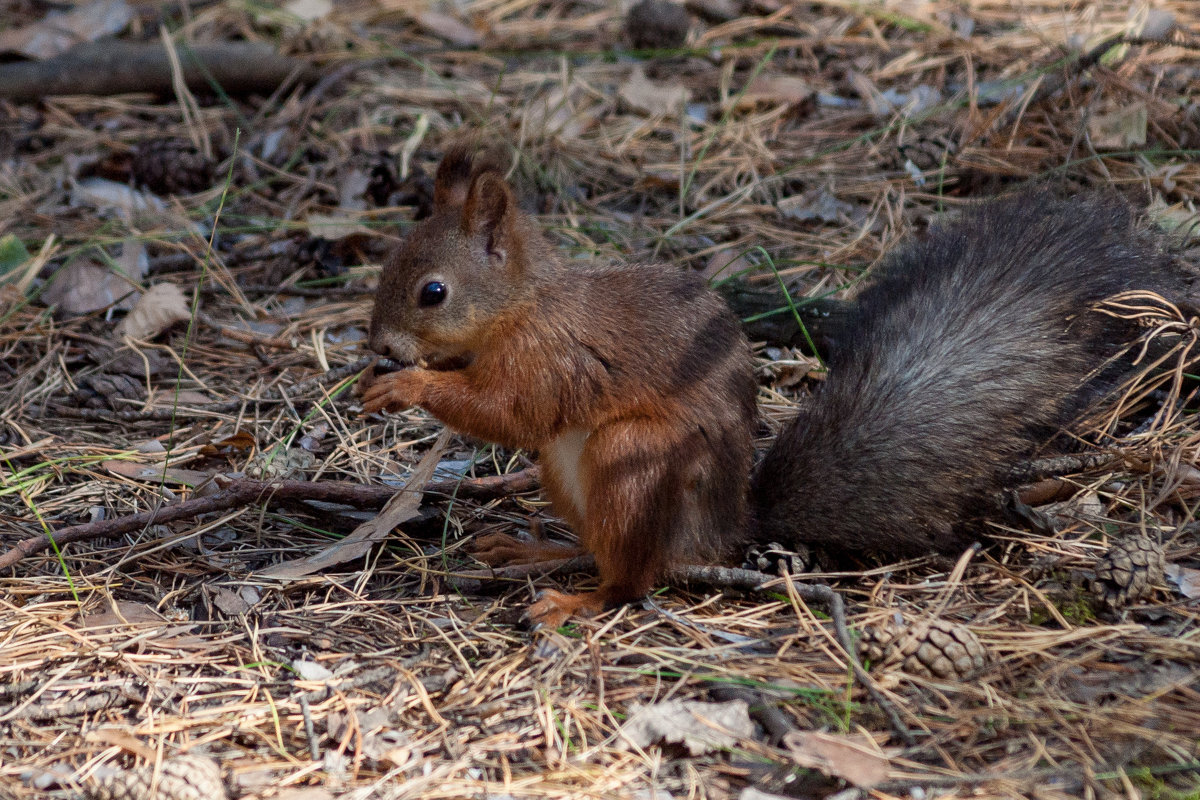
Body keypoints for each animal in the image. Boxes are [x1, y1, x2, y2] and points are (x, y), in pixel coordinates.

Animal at [360, 145, 1176, 633]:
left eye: (433, 291)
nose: (377, 346)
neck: (523, 305)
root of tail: (723, 532)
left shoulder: (554, 359)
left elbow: (508, 411)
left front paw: (406, 385)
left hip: (632, 456)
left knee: (632, 578)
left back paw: (576, 599)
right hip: (567, 476)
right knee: (599, 548)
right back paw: (533, 551)